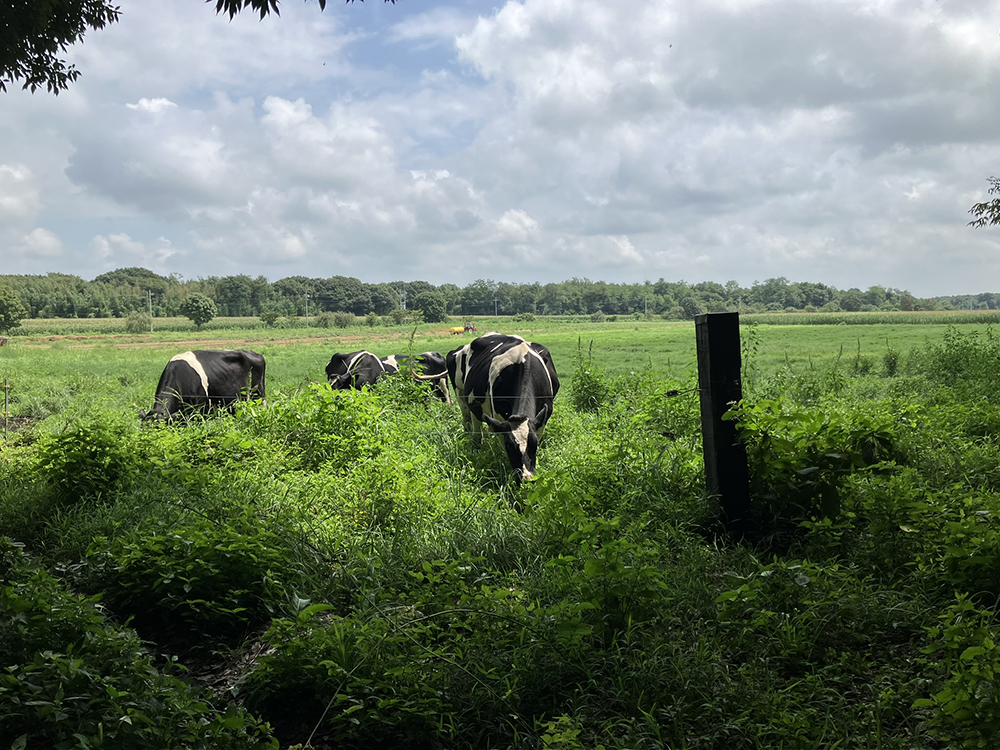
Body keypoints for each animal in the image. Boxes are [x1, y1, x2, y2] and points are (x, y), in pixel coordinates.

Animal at [448, 334, 560, 482]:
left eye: (533, 444)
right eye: (509, 447)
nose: (526, 477)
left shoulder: (543, 418)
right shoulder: (500, 418)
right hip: (462, 394)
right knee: (471, 422)